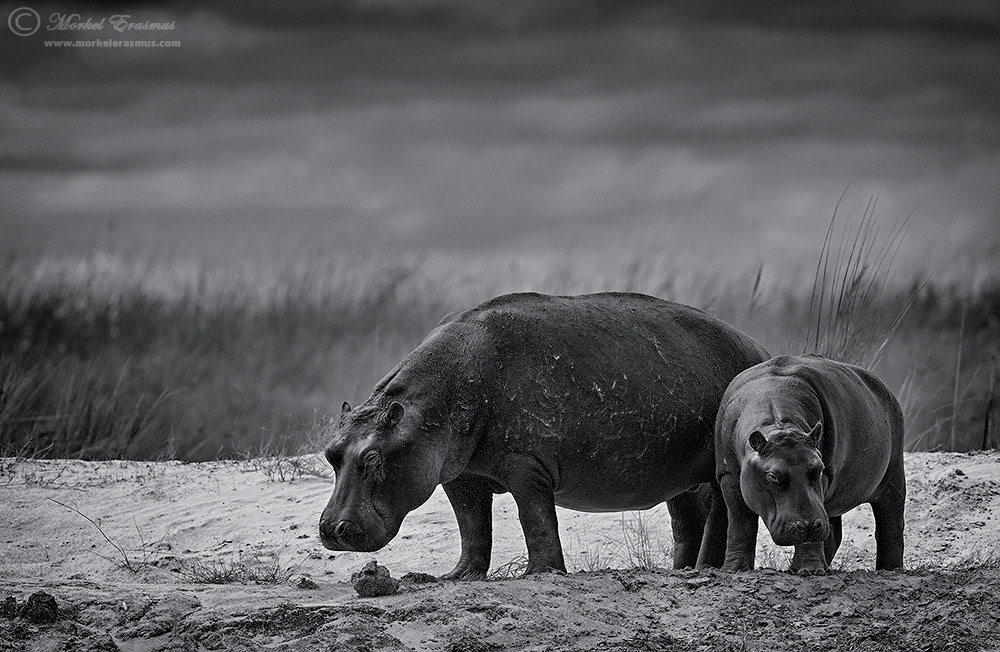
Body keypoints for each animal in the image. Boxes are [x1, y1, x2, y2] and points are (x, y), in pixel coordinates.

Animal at [319, 292, 769, 578]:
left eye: (373, 458)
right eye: (331, 453)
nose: (333, 530)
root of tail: (759, 348)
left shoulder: (526, 466)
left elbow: (534, 517)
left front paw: (541, 573)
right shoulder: (459, 477)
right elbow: (472, 527)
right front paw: (456, 576)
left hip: (716, 466)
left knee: (720, 511)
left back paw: (707, 569)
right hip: (678, 474)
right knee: (685, 518)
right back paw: (679, 570)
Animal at [714, 354, 906, 575]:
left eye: (818, 468)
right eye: (773, 476)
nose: (808, 526)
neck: (778, 424)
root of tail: (886, 390)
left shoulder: (824, 480)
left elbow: (810, 537)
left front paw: (811, 571)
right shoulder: (729, 476)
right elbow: (740, 524)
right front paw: (733, 569)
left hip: (893, 478)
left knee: (891, 526)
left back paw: (891, 570)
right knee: (834, 533)